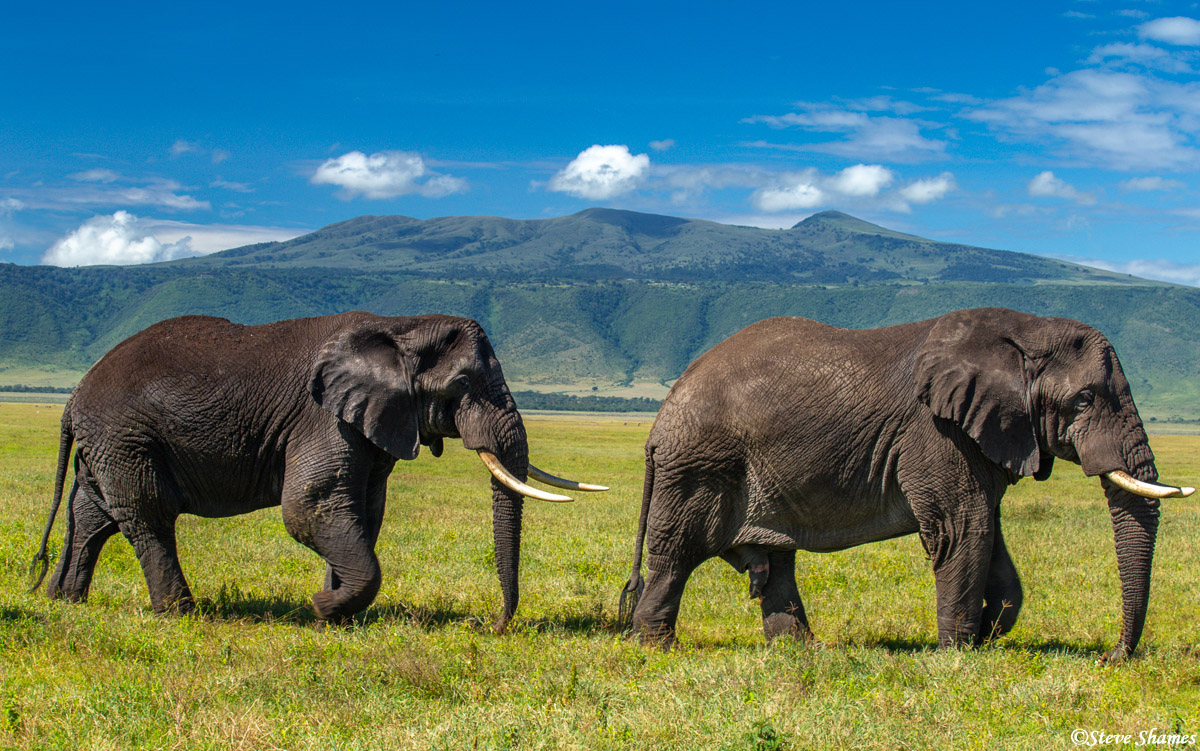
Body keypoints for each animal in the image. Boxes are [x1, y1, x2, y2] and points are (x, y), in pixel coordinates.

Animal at [28, 309, 604, 623]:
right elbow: (310, 506)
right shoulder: (321, 417)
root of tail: (73, 396)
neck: (399, 326)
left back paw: (65, 600)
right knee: (147, 513)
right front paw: (321, 608)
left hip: (113, 443)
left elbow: (364, 511)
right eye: (463, 385)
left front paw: (336, 614)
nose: (494, 625)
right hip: (126, 436)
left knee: (96, 512)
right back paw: (181, 613)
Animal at [624, 307, 1195, 657]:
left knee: (776, 562)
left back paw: (801, 652)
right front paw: (959, 655)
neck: (1024, 330)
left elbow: (989, 536)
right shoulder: (936, 432)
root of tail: (662, 415)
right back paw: (656, 648)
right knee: (677, 555)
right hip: (699, 465)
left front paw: (985, 633)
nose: (1111, 658)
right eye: (1084, 400)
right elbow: (963, 529)